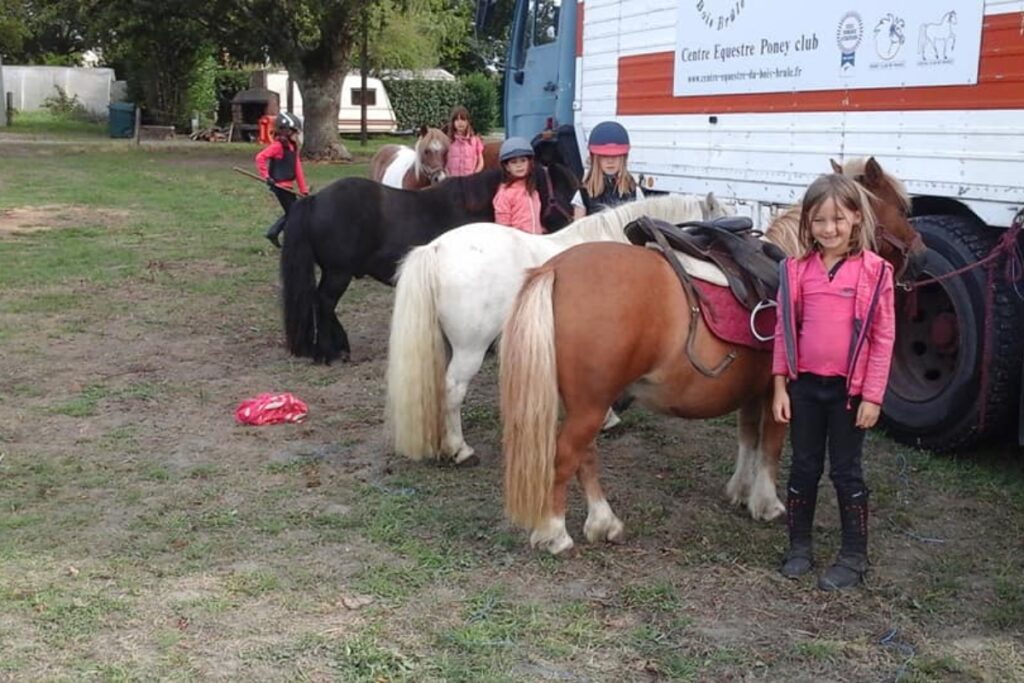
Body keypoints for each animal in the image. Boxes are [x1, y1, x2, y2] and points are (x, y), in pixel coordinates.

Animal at [495, 157, 929, 552]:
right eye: (903, 208)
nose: (923, 255)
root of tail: (555, 269)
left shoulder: (752, 390)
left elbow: (748, 436)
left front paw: (740, 489)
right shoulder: (781, 393)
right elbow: (771, 444)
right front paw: (766, 503)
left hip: (588, 403)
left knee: (585, 455)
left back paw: (604, 523)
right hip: (591, 404)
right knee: (567, 454)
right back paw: (555, 533)